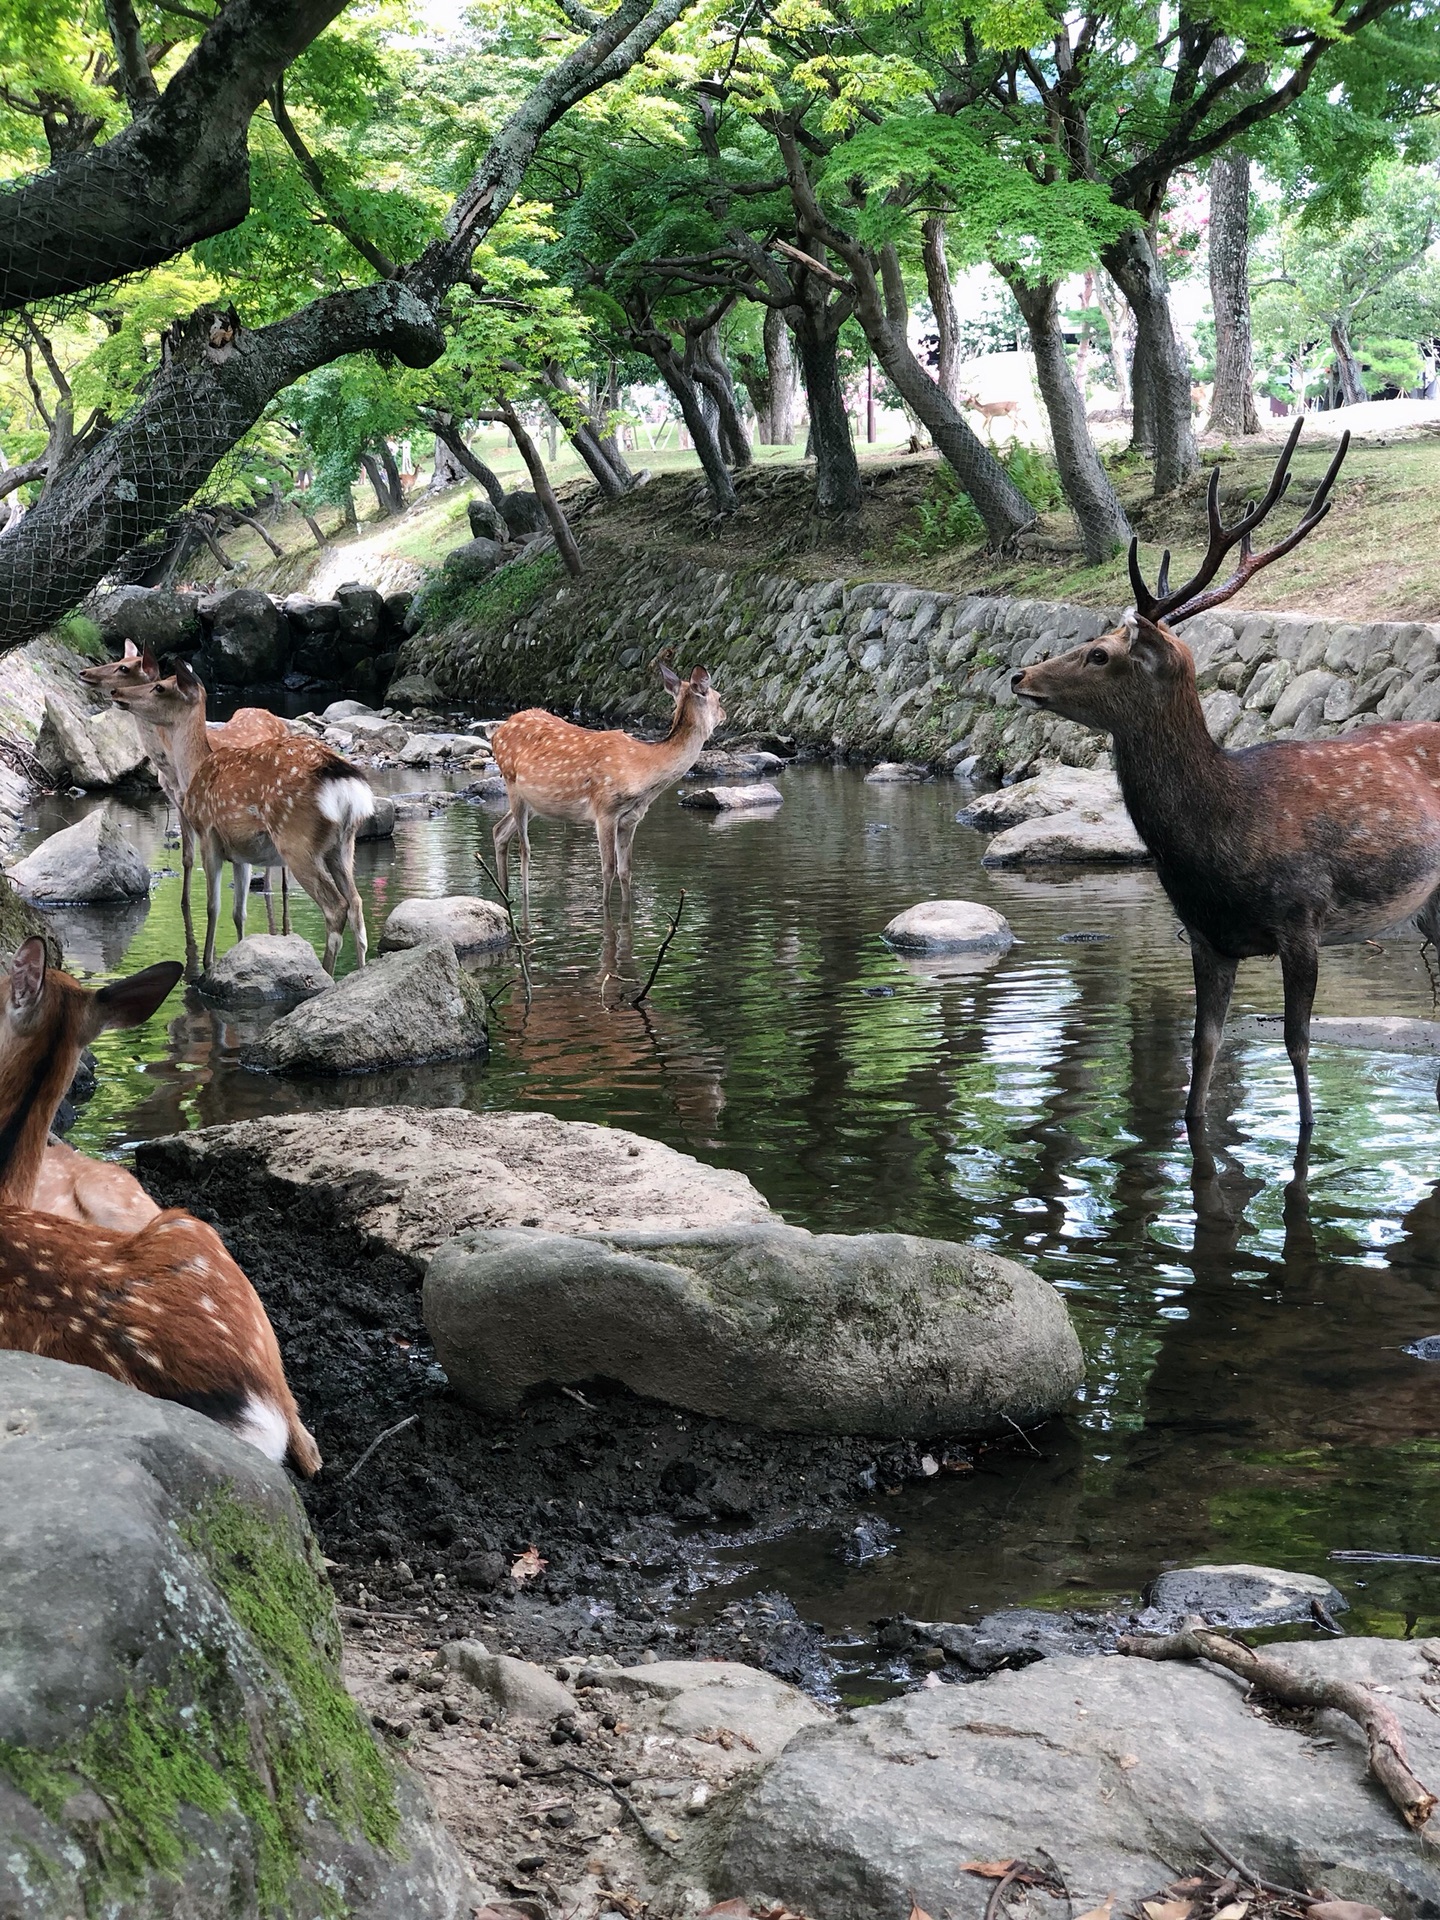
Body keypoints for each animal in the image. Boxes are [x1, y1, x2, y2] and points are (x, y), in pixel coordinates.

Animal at [81, 645, 293, 936]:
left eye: (124, 668)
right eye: (119, 659)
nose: (84, 672)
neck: (171, 765)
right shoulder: (177, 801)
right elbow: (187, 858)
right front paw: (184, 902)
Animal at [110, 668, 374, 983]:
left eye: (159, 687)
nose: (116, 693)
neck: (194, 768)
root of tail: (344, 781)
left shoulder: (208, 834)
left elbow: (213, 906)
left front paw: (207, 964)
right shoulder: (242, 853)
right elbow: (239, 912)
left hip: (296, 840)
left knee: (336, 907)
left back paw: (325, 976)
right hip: (343, 844)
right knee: (356, 903)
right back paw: (360, 972)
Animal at [491, 664, 725, 910]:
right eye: (719, 697)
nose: (725, 714)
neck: (643, 772)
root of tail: (498, 733)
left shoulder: (630, 820)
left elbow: (626, 871)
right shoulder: (605, 811)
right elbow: (608, 869)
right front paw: (605, 909)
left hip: (535, 803)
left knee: (500, 831)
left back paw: (504, 894)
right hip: (512, 784)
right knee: (524, 848)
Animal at [1006, 422, 1413, 1136]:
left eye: (1100, 653)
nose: (1019, 675)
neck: (1221, 830)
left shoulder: (1302, 920)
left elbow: (1297, 1045)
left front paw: (1308, 1132)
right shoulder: (1203, 935)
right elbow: (1203, 1054)